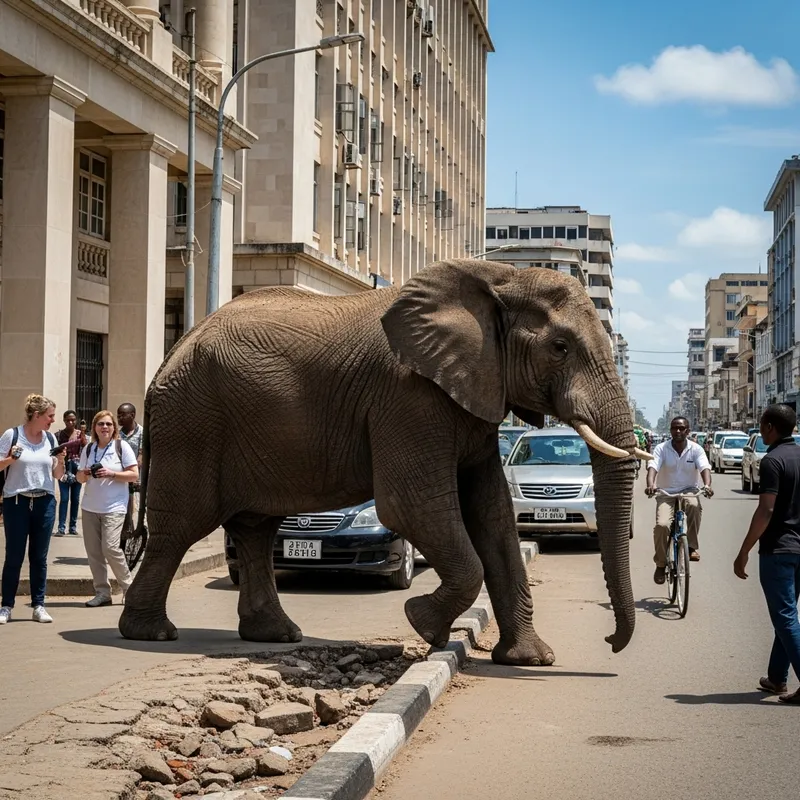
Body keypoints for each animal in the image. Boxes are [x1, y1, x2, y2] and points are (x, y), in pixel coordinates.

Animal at [119, 258, 647, 666]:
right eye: (560, 347)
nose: (610, 641)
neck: (497, 279)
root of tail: (170, 354)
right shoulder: (408, 397)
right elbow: (411, 506)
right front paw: (423, 624)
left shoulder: (475, 394)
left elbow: (493, 514)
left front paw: (530, 660)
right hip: (192, 421)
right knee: (180, 527)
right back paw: (150, 634)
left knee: (255, 529)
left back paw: (276, 635)